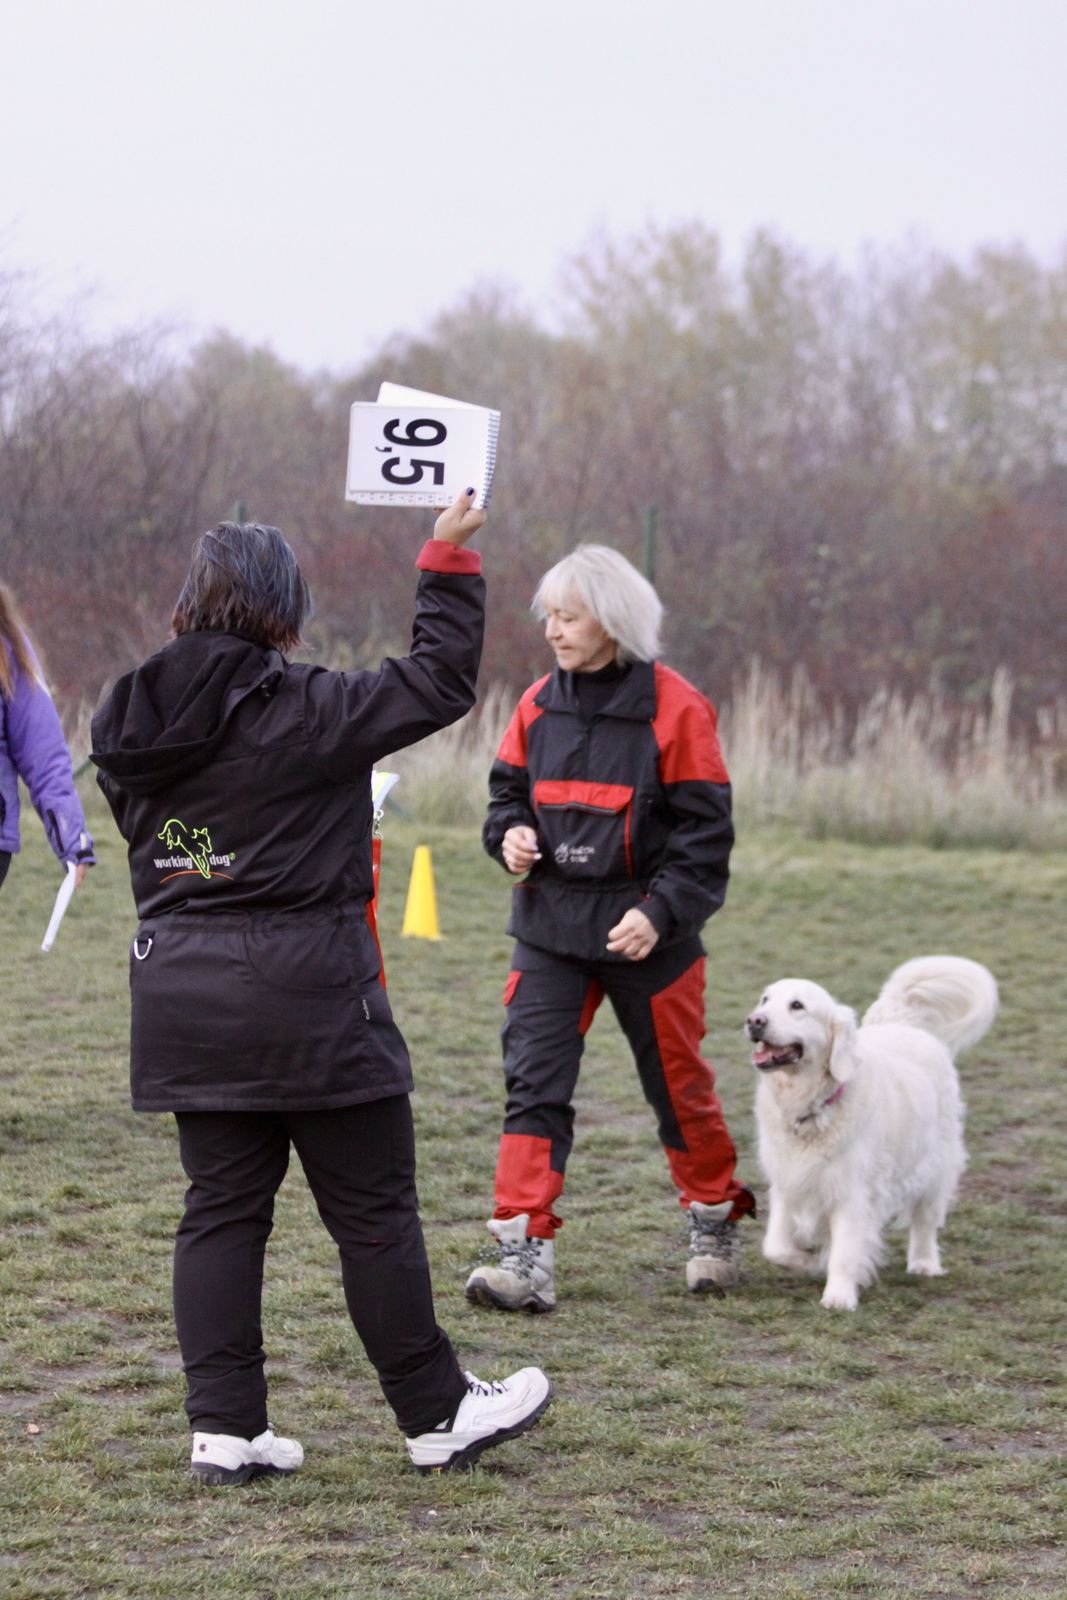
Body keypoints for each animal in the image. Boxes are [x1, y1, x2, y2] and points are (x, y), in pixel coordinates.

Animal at [748, 953, 998, 1305]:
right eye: (765, 1000)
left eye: (797, 1005)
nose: (754, 1021)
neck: (812, 1107)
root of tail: (902, 1021)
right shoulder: (788, 1181)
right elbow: (775, 1247)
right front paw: (810, 1262)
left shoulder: (853, 1192)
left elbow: (843, 1252)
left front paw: (838, 1297)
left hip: (936, 1165)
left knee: (925, 1221)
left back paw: (924, 1263)